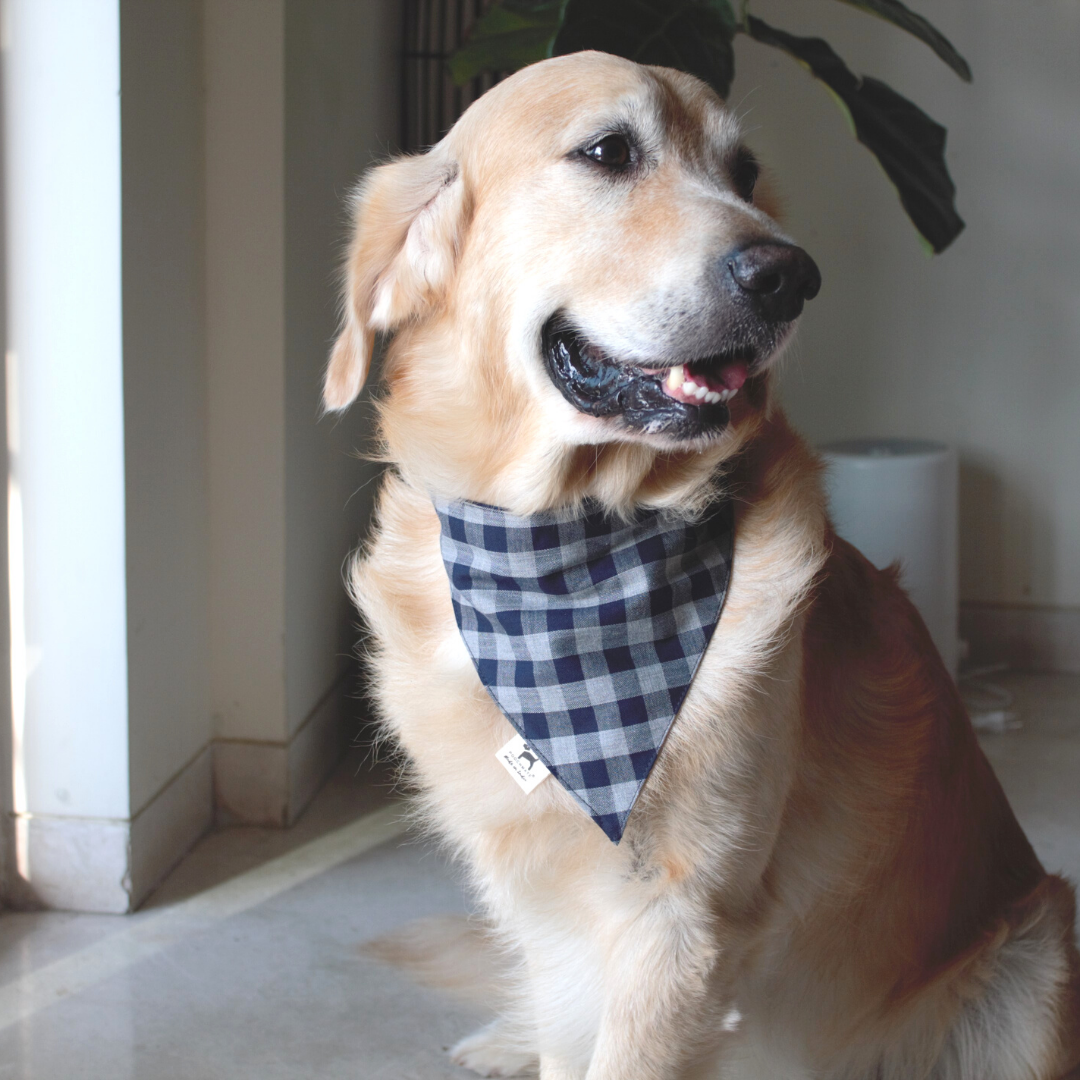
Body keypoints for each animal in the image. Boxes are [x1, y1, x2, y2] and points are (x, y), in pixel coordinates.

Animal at [321, 52, 1080, 1080]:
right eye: (608, 151)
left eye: (745, 171)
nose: (789, 276)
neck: (572, 545)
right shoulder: (556, 915)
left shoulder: (679, 923)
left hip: (1038, 954)